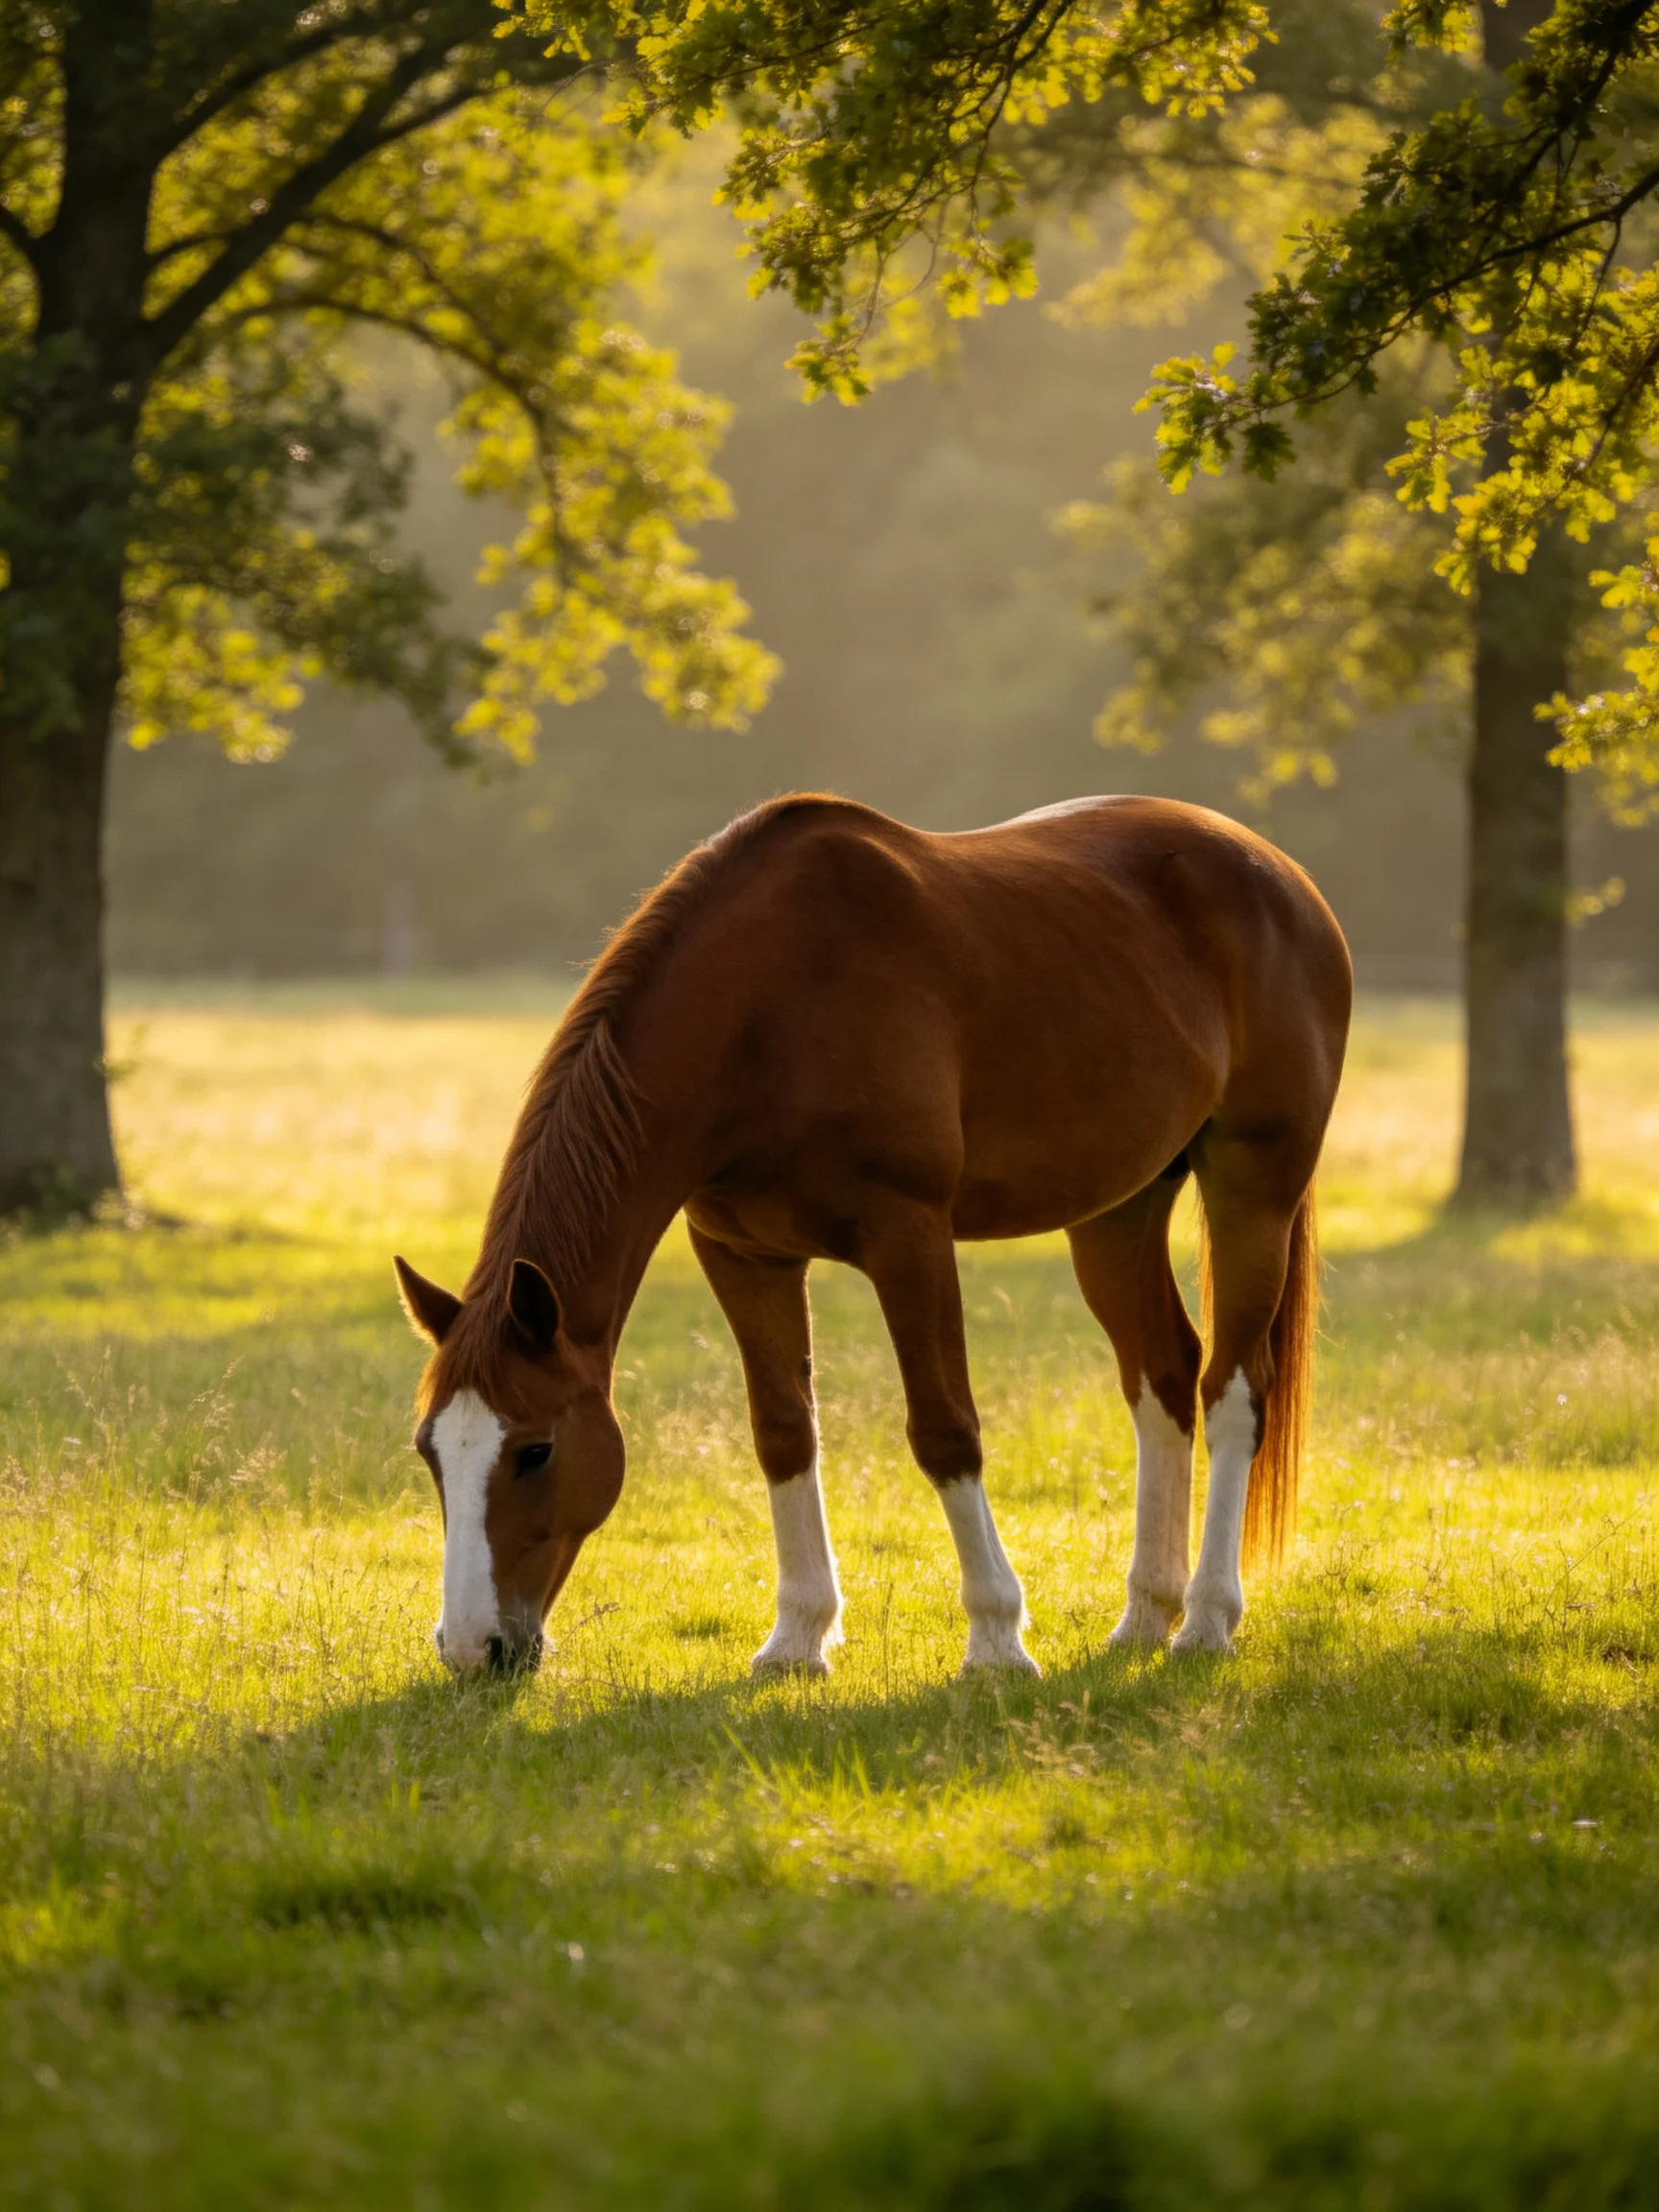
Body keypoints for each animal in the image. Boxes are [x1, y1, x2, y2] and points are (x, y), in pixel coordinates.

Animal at [394, 792, 1351, 1677]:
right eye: (431, 1451)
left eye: (536, 1450)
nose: (473, 1648)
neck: (769, 1006)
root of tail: (1282, 877)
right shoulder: (744, 1254)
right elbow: (783, 1430)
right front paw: (797, 1637)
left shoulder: (909, 1236)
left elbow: (945, 1427)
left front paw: (997, 1639)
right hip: (1116, 1211)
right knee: (1163, 1376)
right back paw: (1145, 1615)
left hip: (1252, 1187)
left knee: (1233, 1389)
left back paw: (1206, 1621)